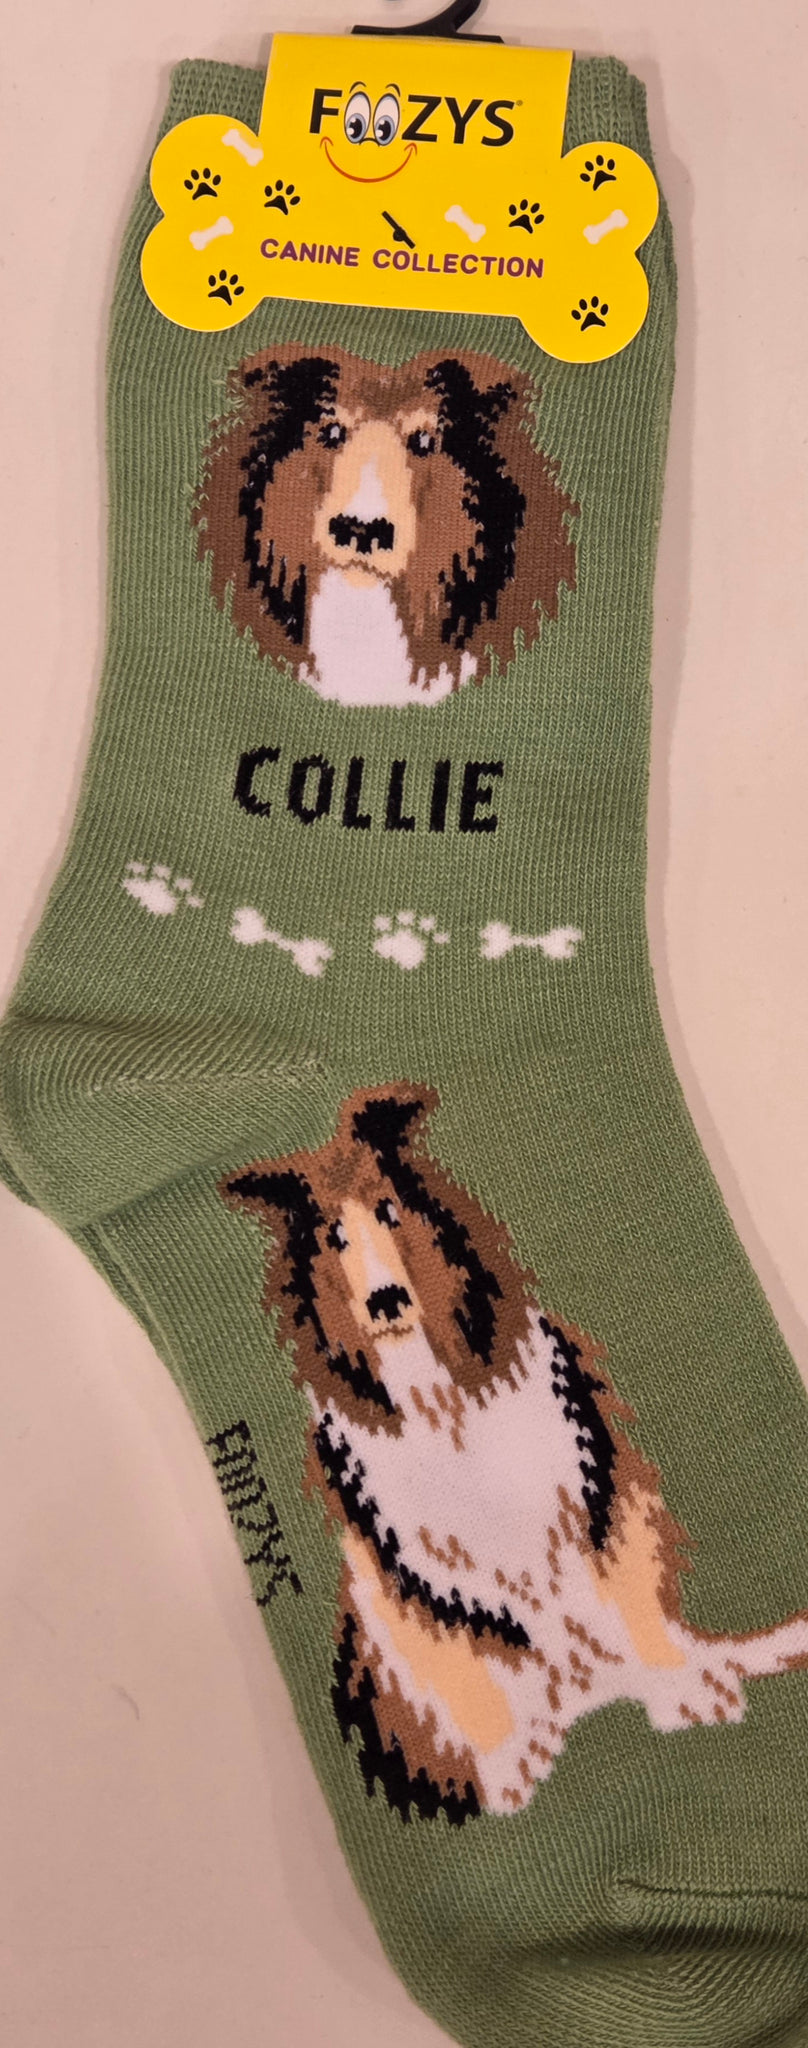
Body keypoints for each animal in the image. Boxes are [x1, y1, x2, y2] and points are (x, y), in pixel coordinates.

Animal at [221, 1083, 808, 1822]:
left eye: (389, 1210)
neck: (438, 1401)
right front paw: (507, 1772)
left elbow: (624, 1602)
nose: (386, 1300)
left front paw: (679, 1692)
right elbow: (469, 1664)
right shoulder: (407, 1564)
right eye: (333, 1236)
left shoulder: (590, 1490)